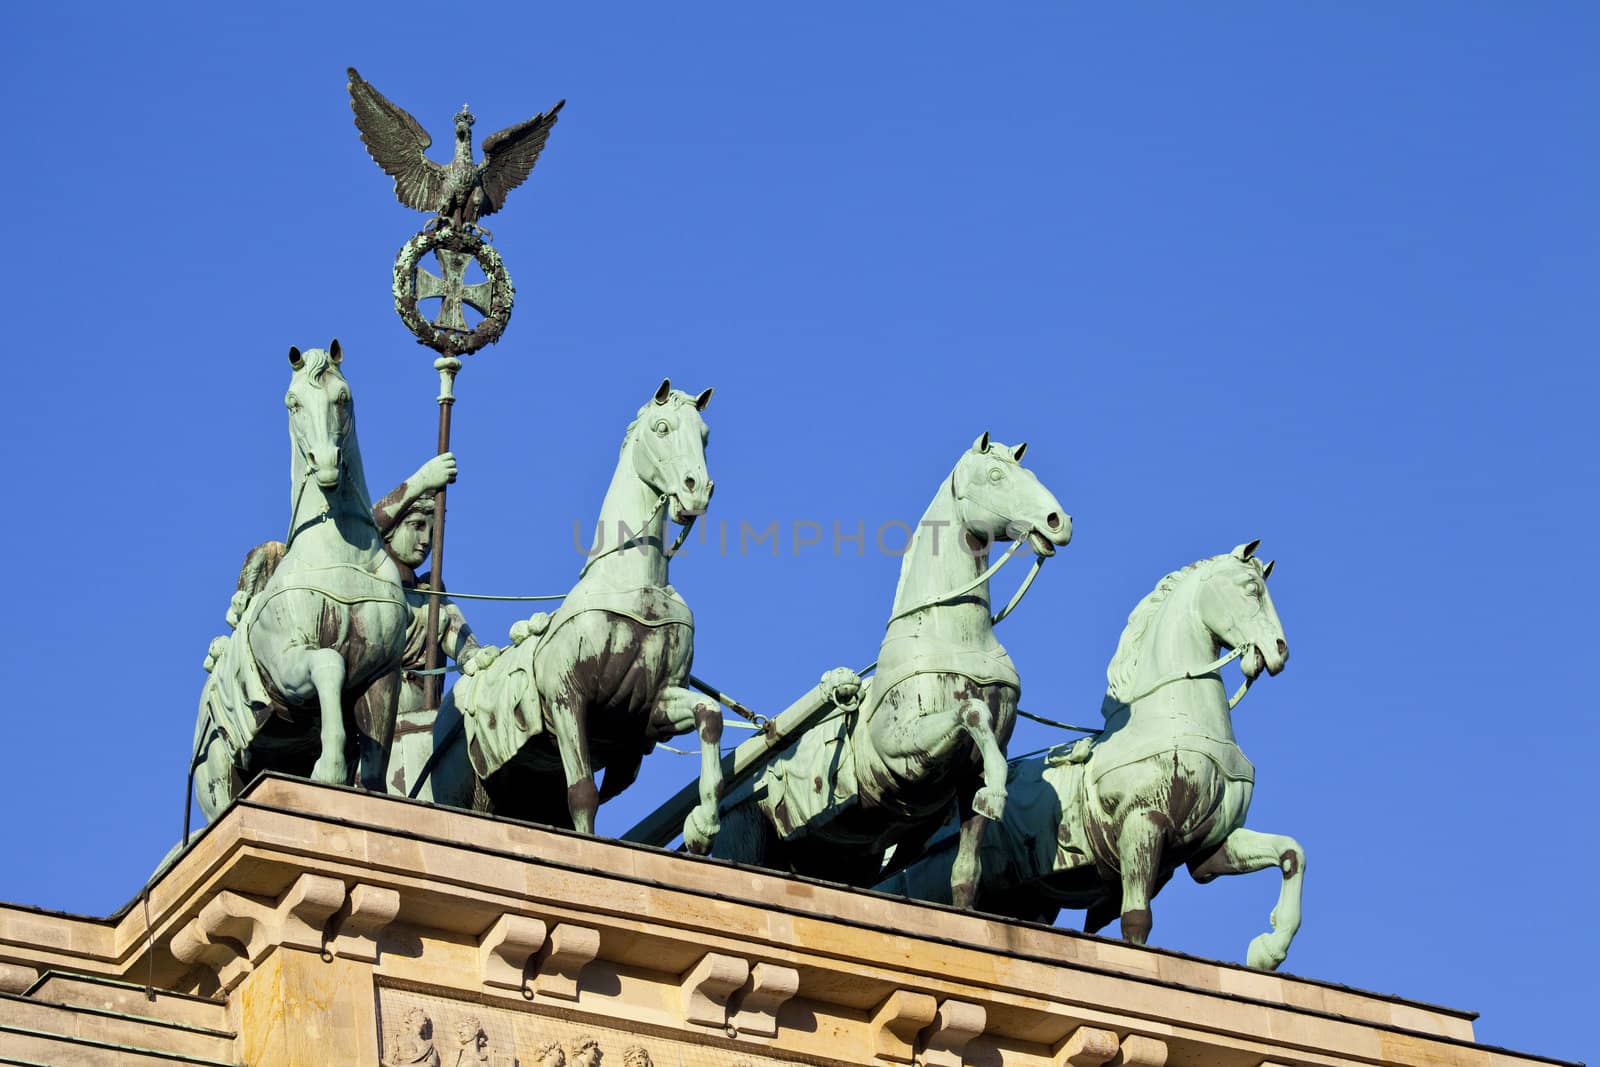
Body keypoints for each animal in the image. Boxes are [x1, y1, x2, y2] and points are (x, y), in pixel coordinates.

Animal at [192, 342, 409, 819]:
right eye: (293, 403)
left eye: (343, 396)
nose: (326, 464)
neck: (341, 553)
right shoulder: (288, 667)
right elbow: (330, 663)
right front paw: (329, 767)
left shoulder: (383, 674)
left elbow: (376, 756)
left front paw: (366, 788)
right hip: (217, 780)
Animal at [428, 379, 723, 857]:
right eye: (661, 427)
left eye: (706, 435)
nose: (697, 490)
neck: (633, 585)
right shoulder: (568, 698)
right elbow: (583, 792)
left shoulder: (649, 707)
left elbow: (709, 714)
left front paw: (703, 825)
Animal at [716, 438, 1068, 908]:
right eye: (995, 475)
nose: (1058, 521)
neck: (952, 634)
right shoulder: (904, 751)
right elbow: (972, 712)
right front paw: (997, 788)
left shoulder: (964, 776)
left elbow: (966, 868)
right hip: (743, 837)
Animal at [883, 547, 1305, 972]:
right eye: (1251, 588)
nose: (1280, 649)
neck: (1170, 718)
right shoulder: (1142, 823)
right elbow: (1136, 920)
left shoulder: (1209, 847)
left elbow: (1291, 853)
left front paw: (1268, 950)